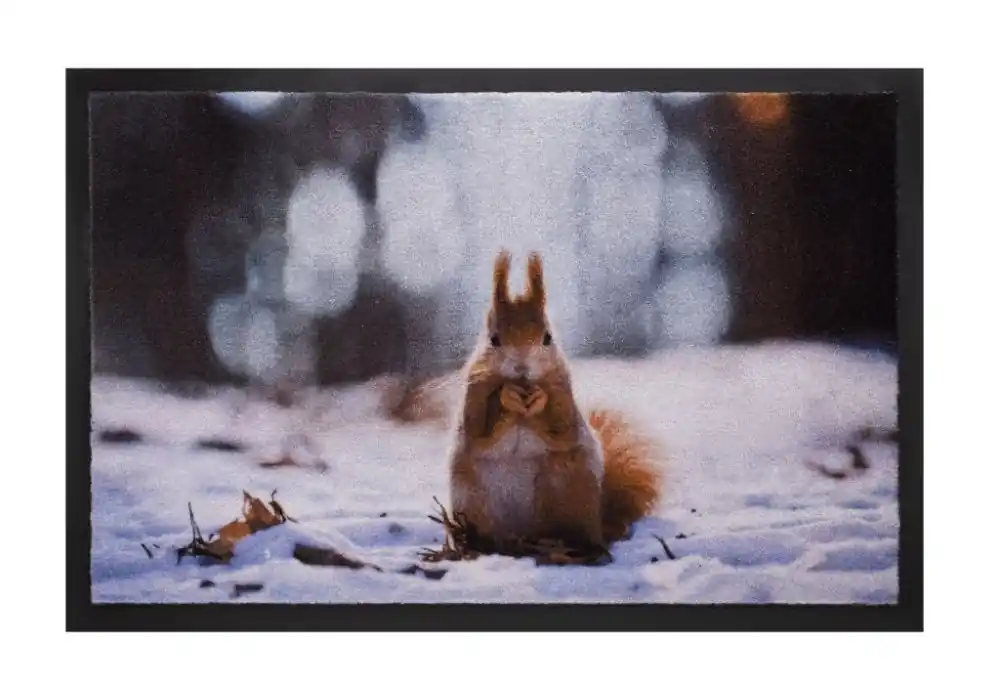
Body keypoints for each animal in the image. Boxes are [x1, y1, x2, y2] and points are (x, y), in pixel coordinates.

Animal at [448, 250, 663, 552]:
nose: (522, 367)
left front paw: (538, 400)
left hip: (566, 492)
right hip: (472, 501)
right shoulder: (473, 395)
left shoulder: (564, 394)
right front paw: (507, 397)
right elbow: (478, 431)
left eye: (548, 337)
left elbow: (563, 430)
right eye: (494, 340)